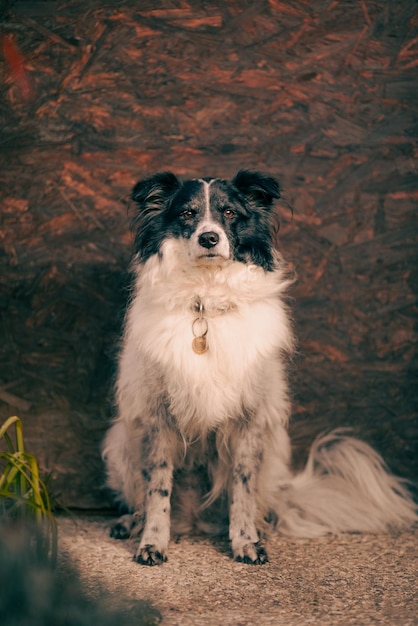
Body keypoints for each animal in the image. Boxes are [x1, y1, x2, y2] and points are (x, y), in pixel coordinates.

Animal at [102, 168, 418, 564]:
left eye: (230, 213)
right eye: (187, 214)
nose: (209, 238)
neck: (206, 302)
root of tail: (195, 521)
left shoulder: (250, 419)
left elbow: (243, 488)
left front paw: (245, 541)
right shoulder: (157, 416)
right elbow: (157, 489)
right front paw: (152, 543)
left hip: (273, 447)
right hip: (121, 441)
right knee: (142, 498)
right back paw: (130, 523)